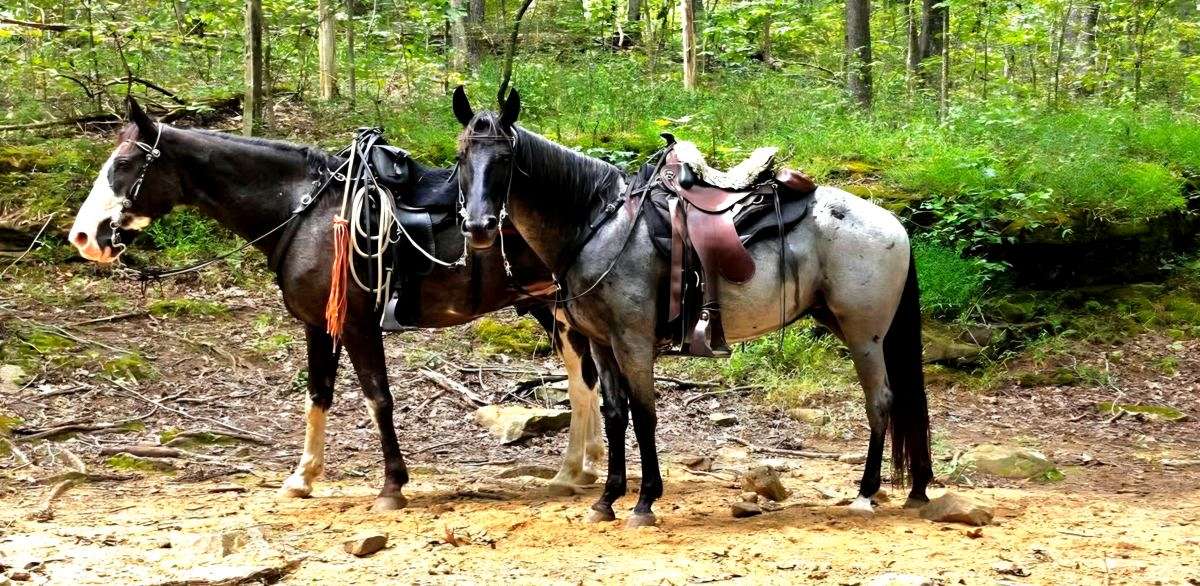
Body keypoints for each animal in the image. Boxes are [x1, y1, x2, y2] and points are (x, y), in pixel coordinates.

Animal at [67, 98, 605, 510]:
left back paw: (576, 470)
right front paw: (302, 477)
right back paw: (579, 469)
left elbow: (377, 398)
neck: (304, 212)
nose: (84, 237)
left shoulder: (358, 325)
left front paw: (392, 486)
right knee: (585, 379)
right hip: (552, 309)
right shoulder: (318, 325)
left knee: (584, 380)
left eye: (123, 165)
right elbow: (318, 395)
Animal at [452, 87, 932, 527]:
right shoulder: (601, 343)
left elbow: (645, 415)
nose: (478, 226)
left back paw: (866, 494)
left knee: (881, 402)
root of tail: (894, 222)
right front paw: (606, 500)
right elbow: (615, 415)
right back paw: (917, 490)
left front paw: (645, 501)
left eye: (505, 159)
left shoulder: (632, 340)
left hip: (864, 334)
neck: (598, 224)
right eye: (461, 157)